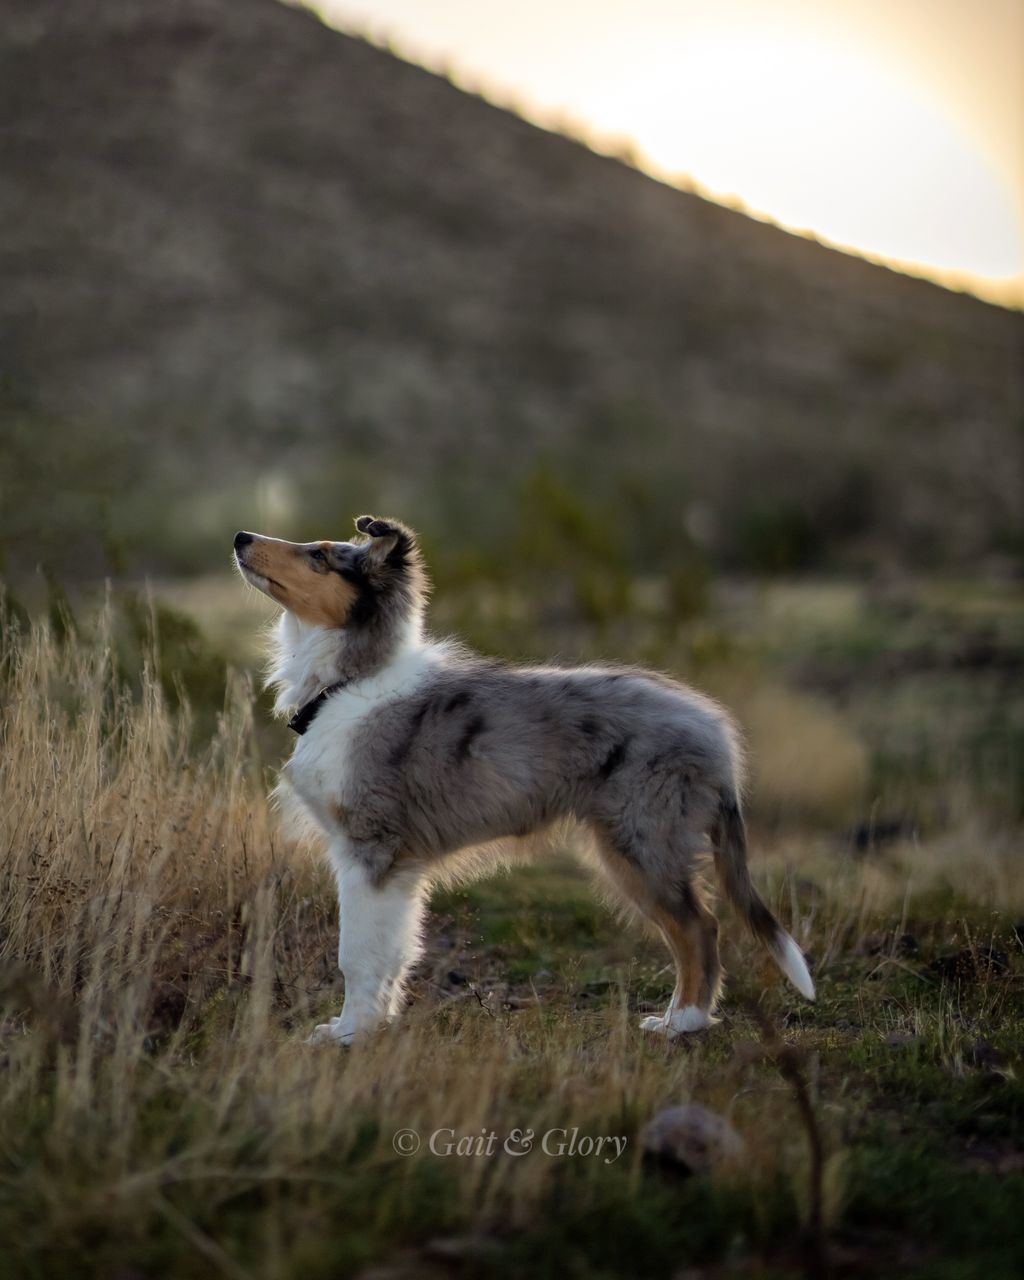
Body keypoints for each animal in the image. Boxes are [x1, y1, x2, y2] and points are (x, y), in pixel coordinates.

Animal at [234, 514, 814, 1044]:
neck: (352, 682)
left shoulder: (369, 849)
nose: (241, 537)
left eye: (319, 555)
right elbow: (393, 952)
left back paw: (684, 1023)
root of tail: (716, 734)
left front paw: (348, 1033)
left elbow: (356, 952)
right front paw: (376, 1023)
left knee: (698, 927)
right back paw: (675, 1018)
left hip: (641, 841)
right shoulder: (396, 869)